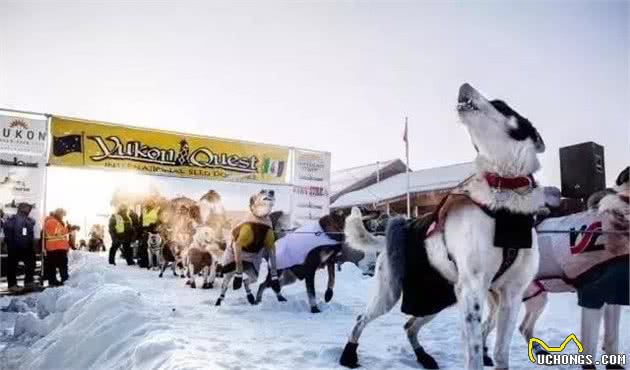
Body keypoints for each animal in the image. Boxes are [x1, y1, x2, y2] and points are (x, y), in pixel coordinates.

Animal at [340, 84, 548, 370]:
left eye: (500, 104)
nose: (464, 85)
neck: (504, 199)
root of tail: (394, 231)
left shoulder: (511, 295)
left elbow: (501, 352)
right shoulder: (472, 290)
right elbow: (474, 354)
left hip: (438, 298)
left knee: (409, 325)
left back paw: (423, 356)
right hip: (391, 292)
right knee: (362, 318)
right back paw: (349, 354)